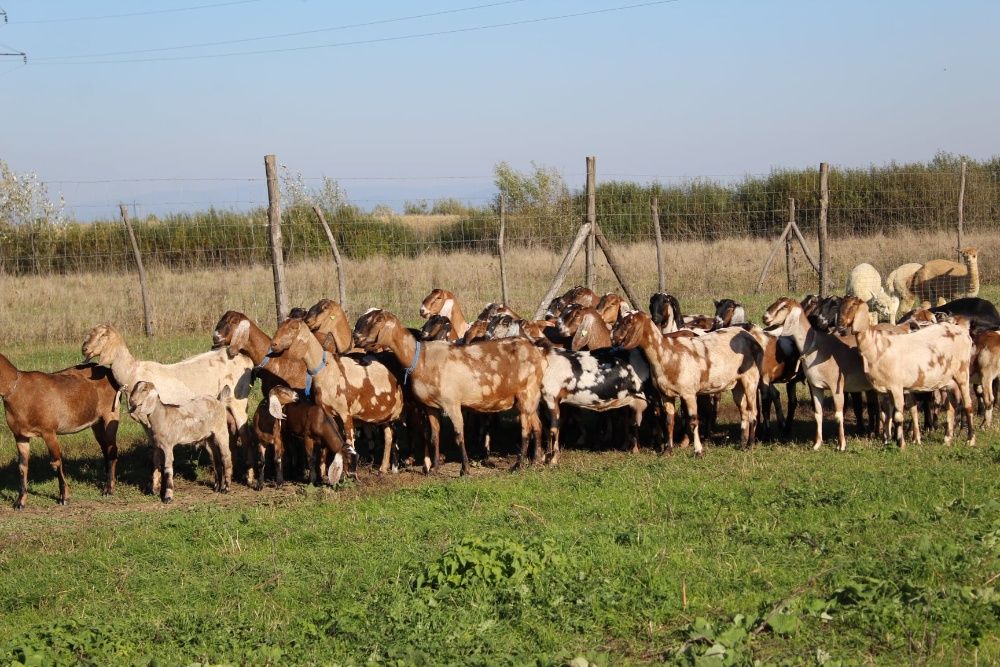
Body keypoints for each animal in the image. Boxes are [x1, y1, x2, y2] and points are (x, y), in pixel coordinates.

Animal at [0, 358, 121, 508]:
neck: (17, 390)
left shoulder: (49, 431)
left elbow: (56, 461)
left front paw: (64, 497)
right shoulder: (20, 435)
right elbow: (22, 466)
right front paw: (20, 502)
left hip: (111, 414)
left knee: (112, 449)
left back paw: (108, 489)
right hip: (96, 422)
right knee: (105, 449)